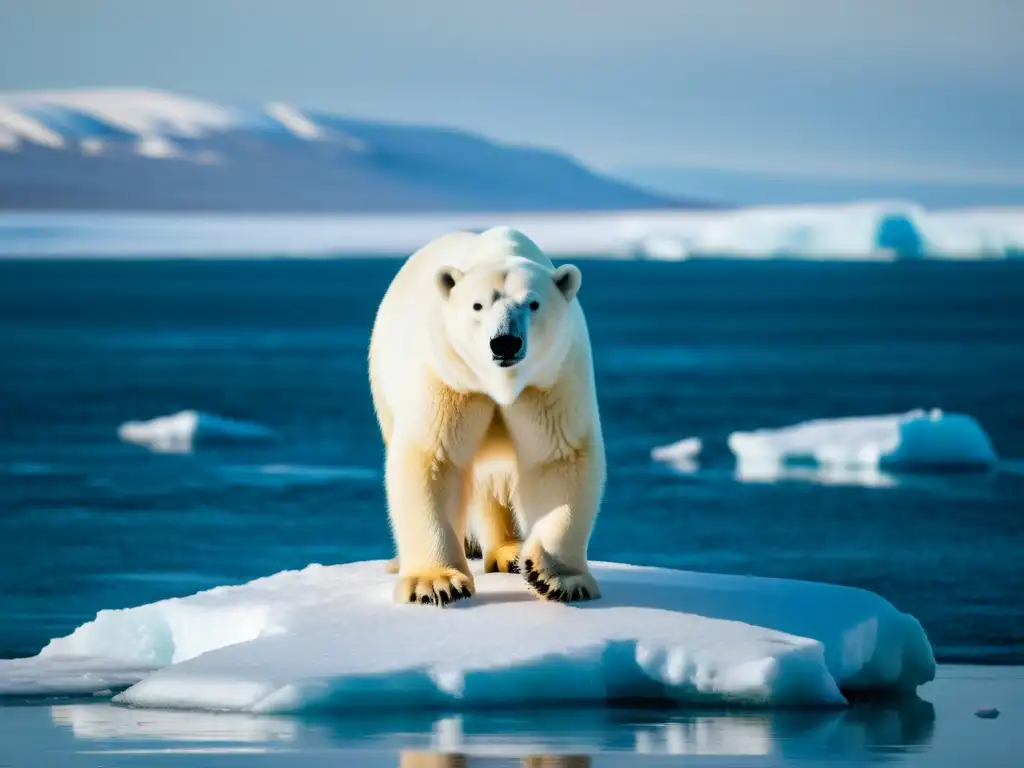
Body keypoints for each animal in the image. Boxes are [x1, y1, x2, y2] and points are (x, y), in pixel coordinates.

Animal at [370, 227, 602, 606]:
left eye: (533, 303)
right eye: (477, 305)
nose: (505, 342)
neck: (500, 385)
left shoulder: (549, 381)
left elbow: (557, 459)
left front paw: (555, 577)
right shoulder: (450, 379)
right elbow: (434, 459)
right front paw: (436, 584)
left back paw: (510, 552)